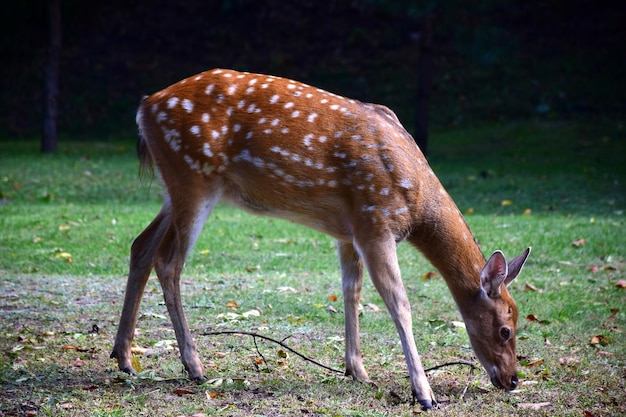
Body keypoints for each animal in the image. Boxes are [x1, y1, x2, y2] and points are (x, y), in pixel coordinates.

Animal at [109, 68, 528, 410]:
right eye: (505, 329)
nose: (512, 380)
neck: (417, 202)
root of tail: (145, 107)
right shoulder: (375, 221)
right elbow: (399, 303)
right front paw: (424, 394)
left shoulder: (349, 230)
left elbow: (351, 291)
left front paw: (357, 370)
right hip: (193, 177)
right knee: (169, 262)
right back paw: (193, 366)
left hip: (174, 188)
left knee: (140, 246)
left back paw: (124, 358)